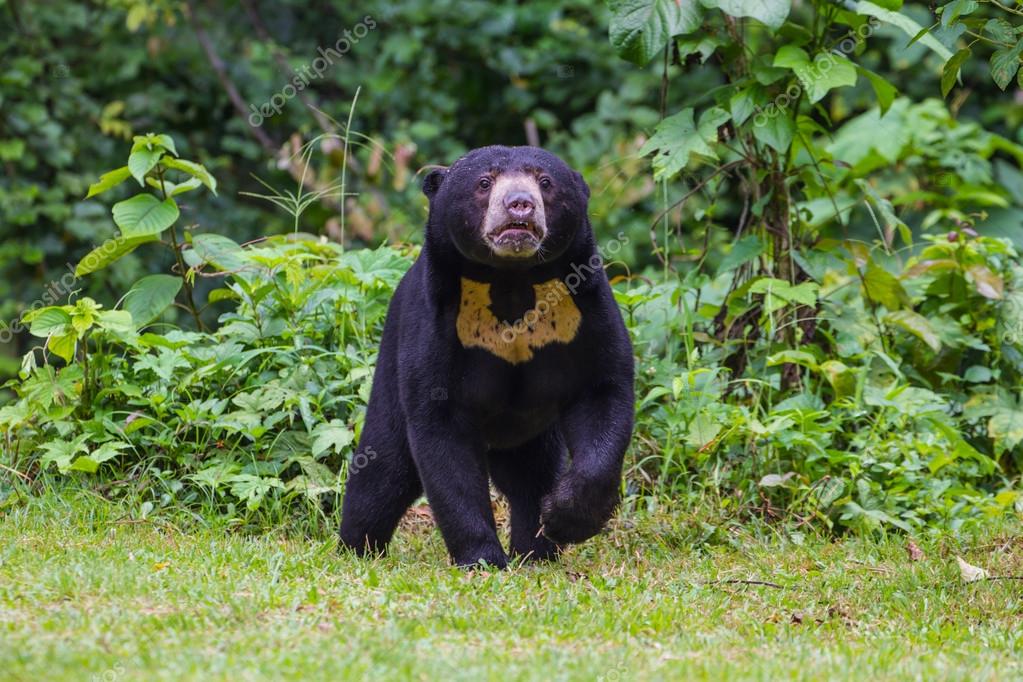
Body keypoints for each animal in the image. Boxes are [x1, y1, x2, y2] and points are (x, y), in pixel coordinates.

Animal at [338, 146, 634, 568]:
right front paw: (481, 558)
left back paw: (536, 551)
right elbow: (442, 434)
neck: (511, 279)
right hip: (390, 364)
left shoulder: (585, 310)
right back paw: (357, 547)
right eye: (484, 182)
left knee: (531, 476)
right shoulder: (436, 323)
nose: (520, 204)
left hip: (531, 432)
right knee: (383, 470)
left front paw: (565, 519)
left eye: (545, 182)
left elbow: (603, 391)